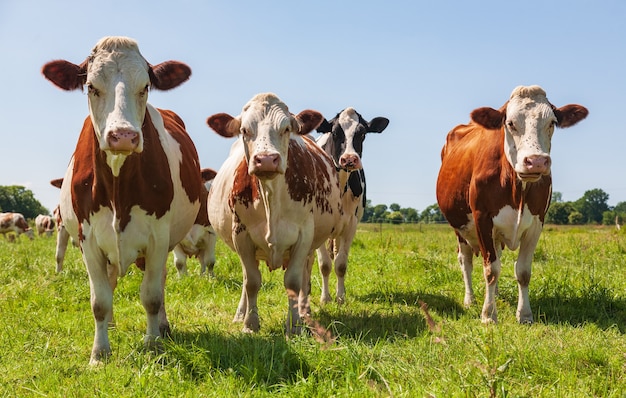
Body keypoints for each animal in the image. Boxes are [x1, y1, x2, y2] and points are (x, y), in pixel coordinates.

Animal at [41, 36, 201, 364]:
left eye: (145, 86)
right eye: (91, 86)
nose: (124, 136)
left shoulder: (157, 238)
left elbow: (152, 296)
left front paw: (153, 345)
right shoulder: (88, 239)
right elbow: (100, 300)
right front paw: (99, 353)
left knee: (159, 281)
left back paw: (163, 327)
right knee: (112, 280)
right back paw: (113, 325)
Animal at [205, 93, 342, 336]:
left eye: (287, 128)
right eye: (244, 130)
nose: (266, 159)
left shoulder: (304, 236)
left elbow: (294, 283)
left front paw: (295, 326)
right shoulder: (241, 235)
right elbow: (251, 282)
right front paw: (249, 324)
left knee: (305, 279)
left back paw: (305, 313)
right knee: (246, 278)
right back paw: (239, 314)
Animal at [314, 107, 388, 304]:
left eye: (362, 133)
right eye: (334, 132)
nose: (349, 159)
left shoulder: (350, 224)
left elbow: (340, 264)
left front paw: (340, 297)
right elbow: (324, 264)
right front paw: (325, 298)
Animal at [434, 84, 584, 324]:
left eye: (552, 123)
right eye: (510, 123)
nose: (536, 161)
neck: (517, 188)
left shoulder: (537, 222)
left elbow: (522, 271)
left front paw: (524, 314)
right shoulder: (482, 218)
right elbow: (490, 270)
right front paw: (488, 315)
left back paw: (494, 295)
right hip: (459, 227)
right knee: (466, 260)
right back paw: (470, 300)